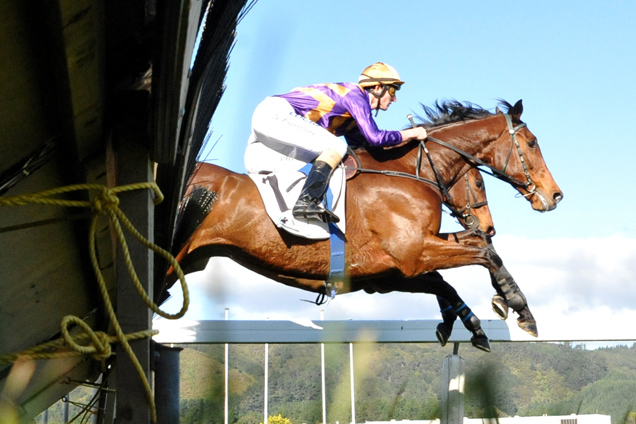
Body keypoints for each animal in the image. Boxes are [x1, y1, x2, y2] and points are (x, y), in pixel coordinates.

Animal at [168, 100, 560, 352]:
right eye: (531, 143)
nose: (554, 195)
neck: (404, 172)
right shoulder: (413, 254)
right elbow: (484, 254)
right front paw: (518, 308)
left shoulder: (390, 273)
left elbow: (450, 275)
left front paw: (466, 324)